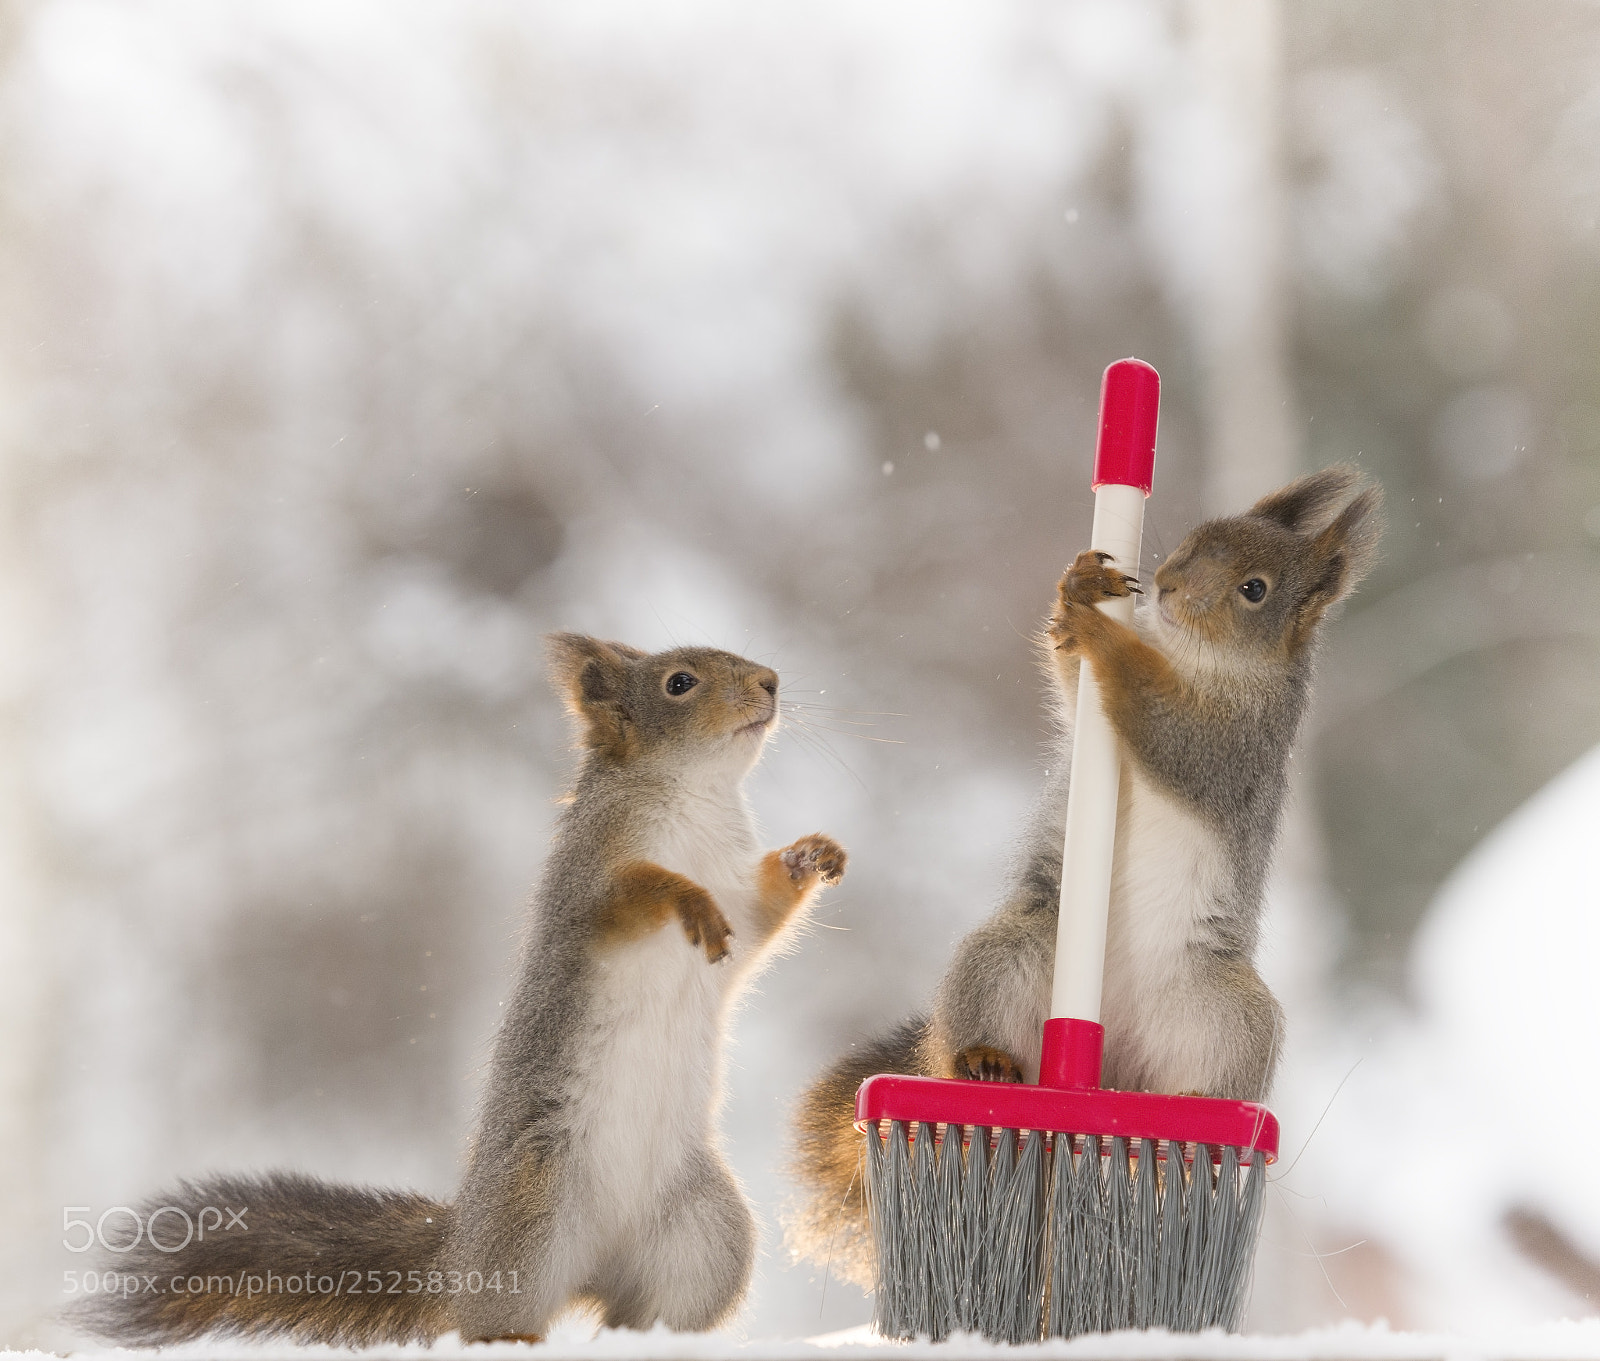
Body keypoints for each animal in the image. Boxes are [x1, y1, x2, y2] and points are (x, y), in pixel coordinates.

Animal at [79, 634, 847, 1346]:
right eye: (679, 683)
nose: (770, 682)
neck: (697, 798)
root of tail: (460, 1257)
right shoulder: (589, 882)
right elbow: (637, 892)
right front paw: (685, 895)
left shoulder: (741, 906)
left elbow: (762, 915)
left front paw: (813, 854)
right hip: (532, 1215)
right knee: (495, 1318)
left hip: (703, 1236)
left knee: (648, 1311)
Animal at [786, 466, 1382, 1286]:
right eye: (1199, 534)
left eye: (1255, 590)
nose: (1165, 586)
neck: (1192, 653)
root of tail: (1110, 1069)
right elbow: (1076, 690)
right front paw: (1080, 589)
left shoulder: (1239, 747)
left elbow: (1167, 728)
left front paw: (1107, 636)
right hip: (1015, 950)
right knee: (970, 1040)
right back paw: (981, 1056)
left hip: (1226, 1014)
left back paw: (1189, 1119)